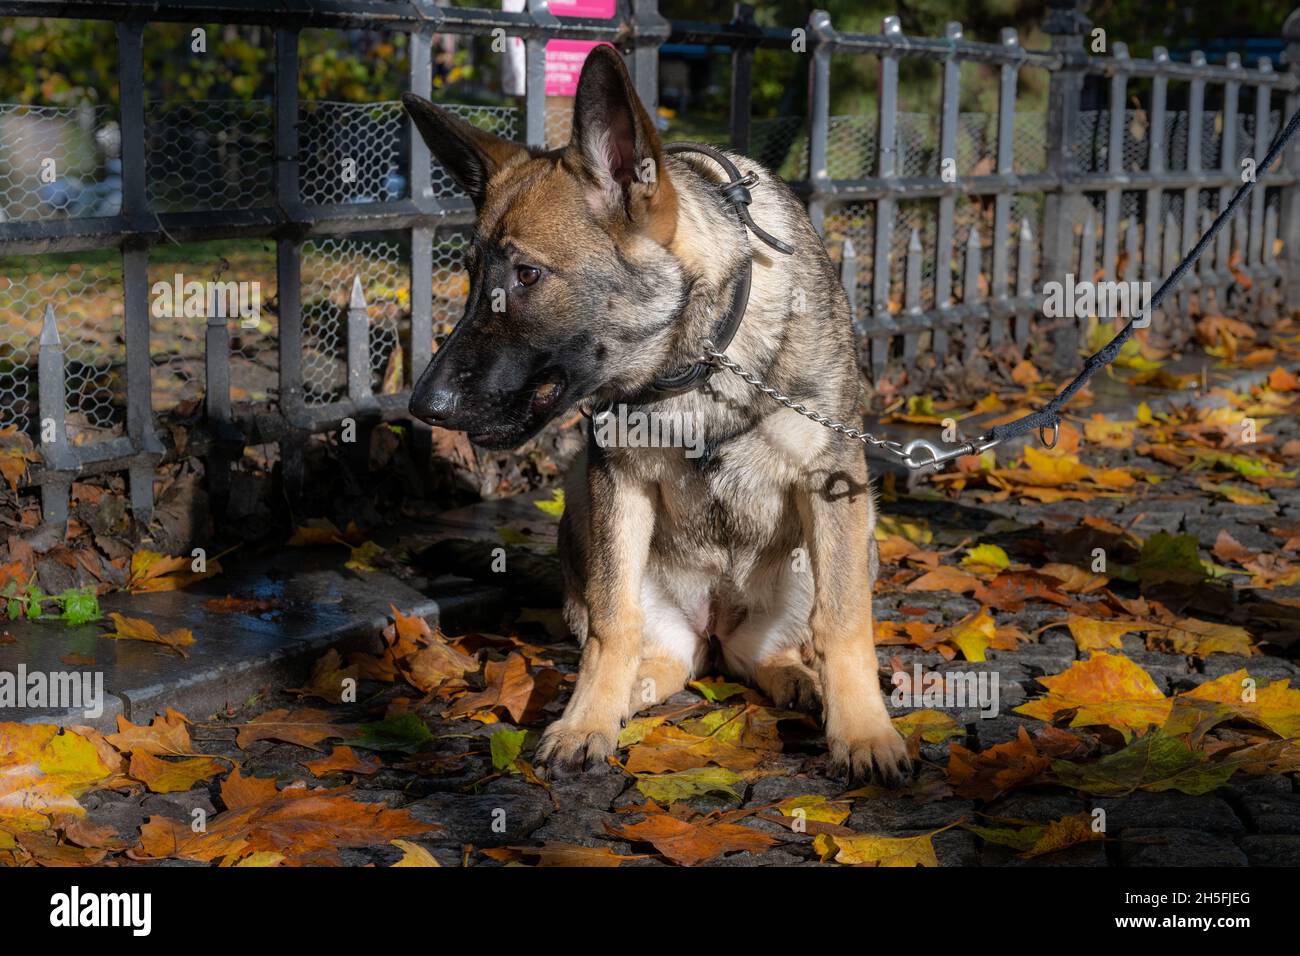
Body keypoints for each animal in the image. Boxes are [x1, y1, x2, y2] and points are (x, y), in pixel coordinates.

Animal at [400, 46, 909, 785]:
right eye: (469, 275)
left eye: (526, 276)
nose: (423, 406)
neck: (701, 362)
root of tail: (716, 631)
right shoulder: (616, 483)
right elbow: (613, 624)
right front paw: (586, 718)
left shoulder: (833, 483)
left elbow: (841, 624)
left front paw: (865, 731)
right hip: (585, 514)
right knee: (653, 651)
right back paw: (624, 696)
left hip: (849, 540)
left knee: (774, 652)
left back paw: (801, 682)